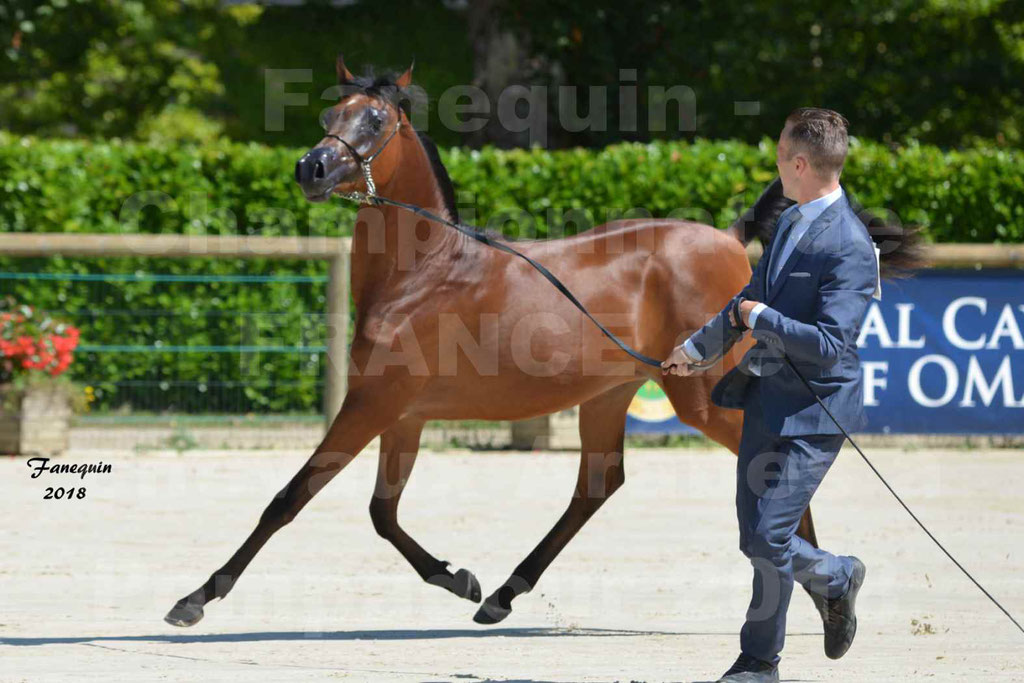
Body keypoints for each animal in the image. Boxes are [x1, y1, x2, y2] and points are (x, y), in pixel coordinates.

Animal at [165, 58, 921, 630]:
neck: (425, 271)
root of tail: (733, 241)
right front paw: (461, 579)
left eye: (374, 121)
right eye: (328, 119)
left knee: (769, 465)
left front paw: (195, 598)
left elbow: (290, 497)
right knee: (598, 485)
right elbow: (383, 513)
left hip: (703, 394)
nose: (311, 169)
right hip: (613, 392)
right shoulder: (402, 414)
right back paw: (500, 596)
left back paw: (819, 602)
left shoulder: (373, 403)